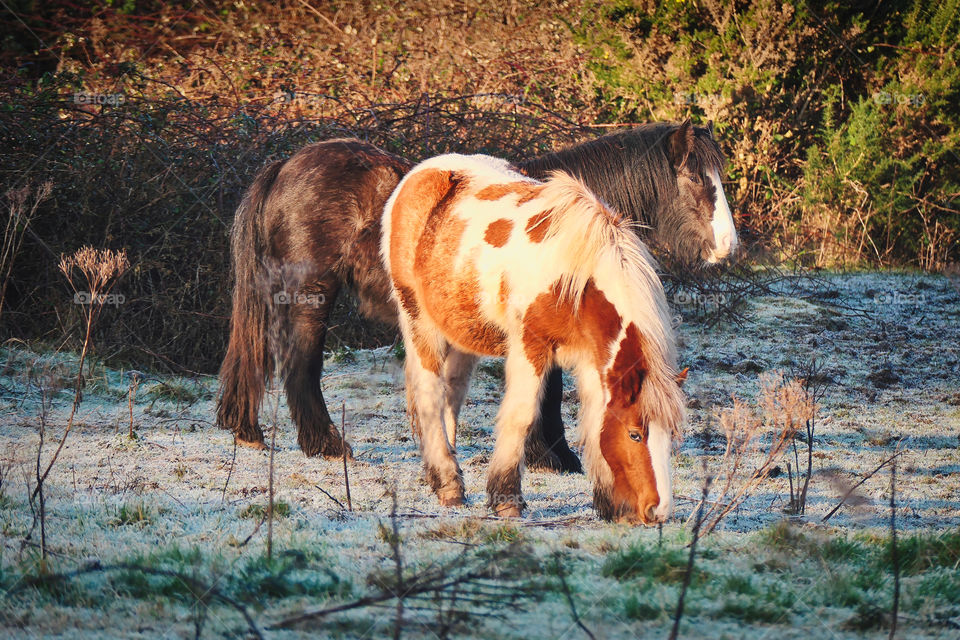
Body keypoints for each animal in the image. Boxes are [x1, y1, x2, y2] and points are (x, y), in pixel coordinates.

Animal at [216, 119, 736, 470]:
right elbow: (547, 391)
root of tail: (286, 165)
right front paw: (553, 456)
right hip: (312, 295)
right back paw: (326, 445)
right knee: (300, 366)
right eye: (697, 179)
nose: (728, 247)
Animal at [378, 155, 688, 524]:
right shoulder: (531, 347)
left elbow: (593, 419)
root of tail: (416, 176)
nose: (658, 511)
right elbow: (522, 417)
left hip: (462, 334)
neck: (575, 275)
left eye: (671, 434)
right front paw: (507, 500)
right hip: (419, 323)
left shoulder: (591, 357)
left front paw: (611, 504)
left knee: (450, 397)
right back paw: (449, 483)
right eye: (635, 434)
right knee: (430, 397)